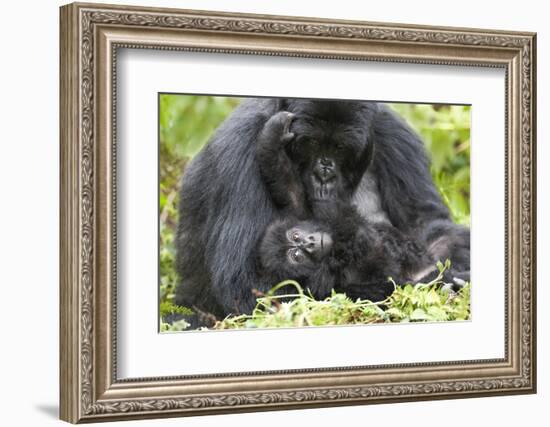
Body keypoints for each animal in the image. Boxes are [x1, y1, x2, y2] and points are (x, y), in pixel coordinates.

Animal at [176, 99, 470, 320]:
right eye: (313, 143)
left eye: (339, 147)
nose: (325, 172)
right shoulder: (240, 141)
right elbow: (246, 289)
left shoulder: (391, 129)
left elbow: (428, 225)